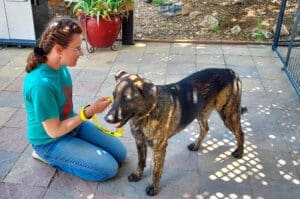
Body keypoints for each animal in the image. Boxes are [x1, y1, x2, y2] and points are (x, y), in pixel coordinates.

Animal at [104, 68, 245, 196]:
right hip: (200, 112)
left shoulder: (159, 148)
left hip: (228, 114)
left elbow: (156, 170)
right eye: (113, 96)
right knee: (205, 128)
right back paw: (196, 145)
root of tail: (230, 71)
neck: (147, 113)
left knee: (240, 132)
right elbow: (141, 161)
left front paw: (153, 187)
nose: (107, 119)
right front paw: (137, 175)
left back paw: (239, 152)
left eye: (126, 99)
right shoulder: (139, 142)